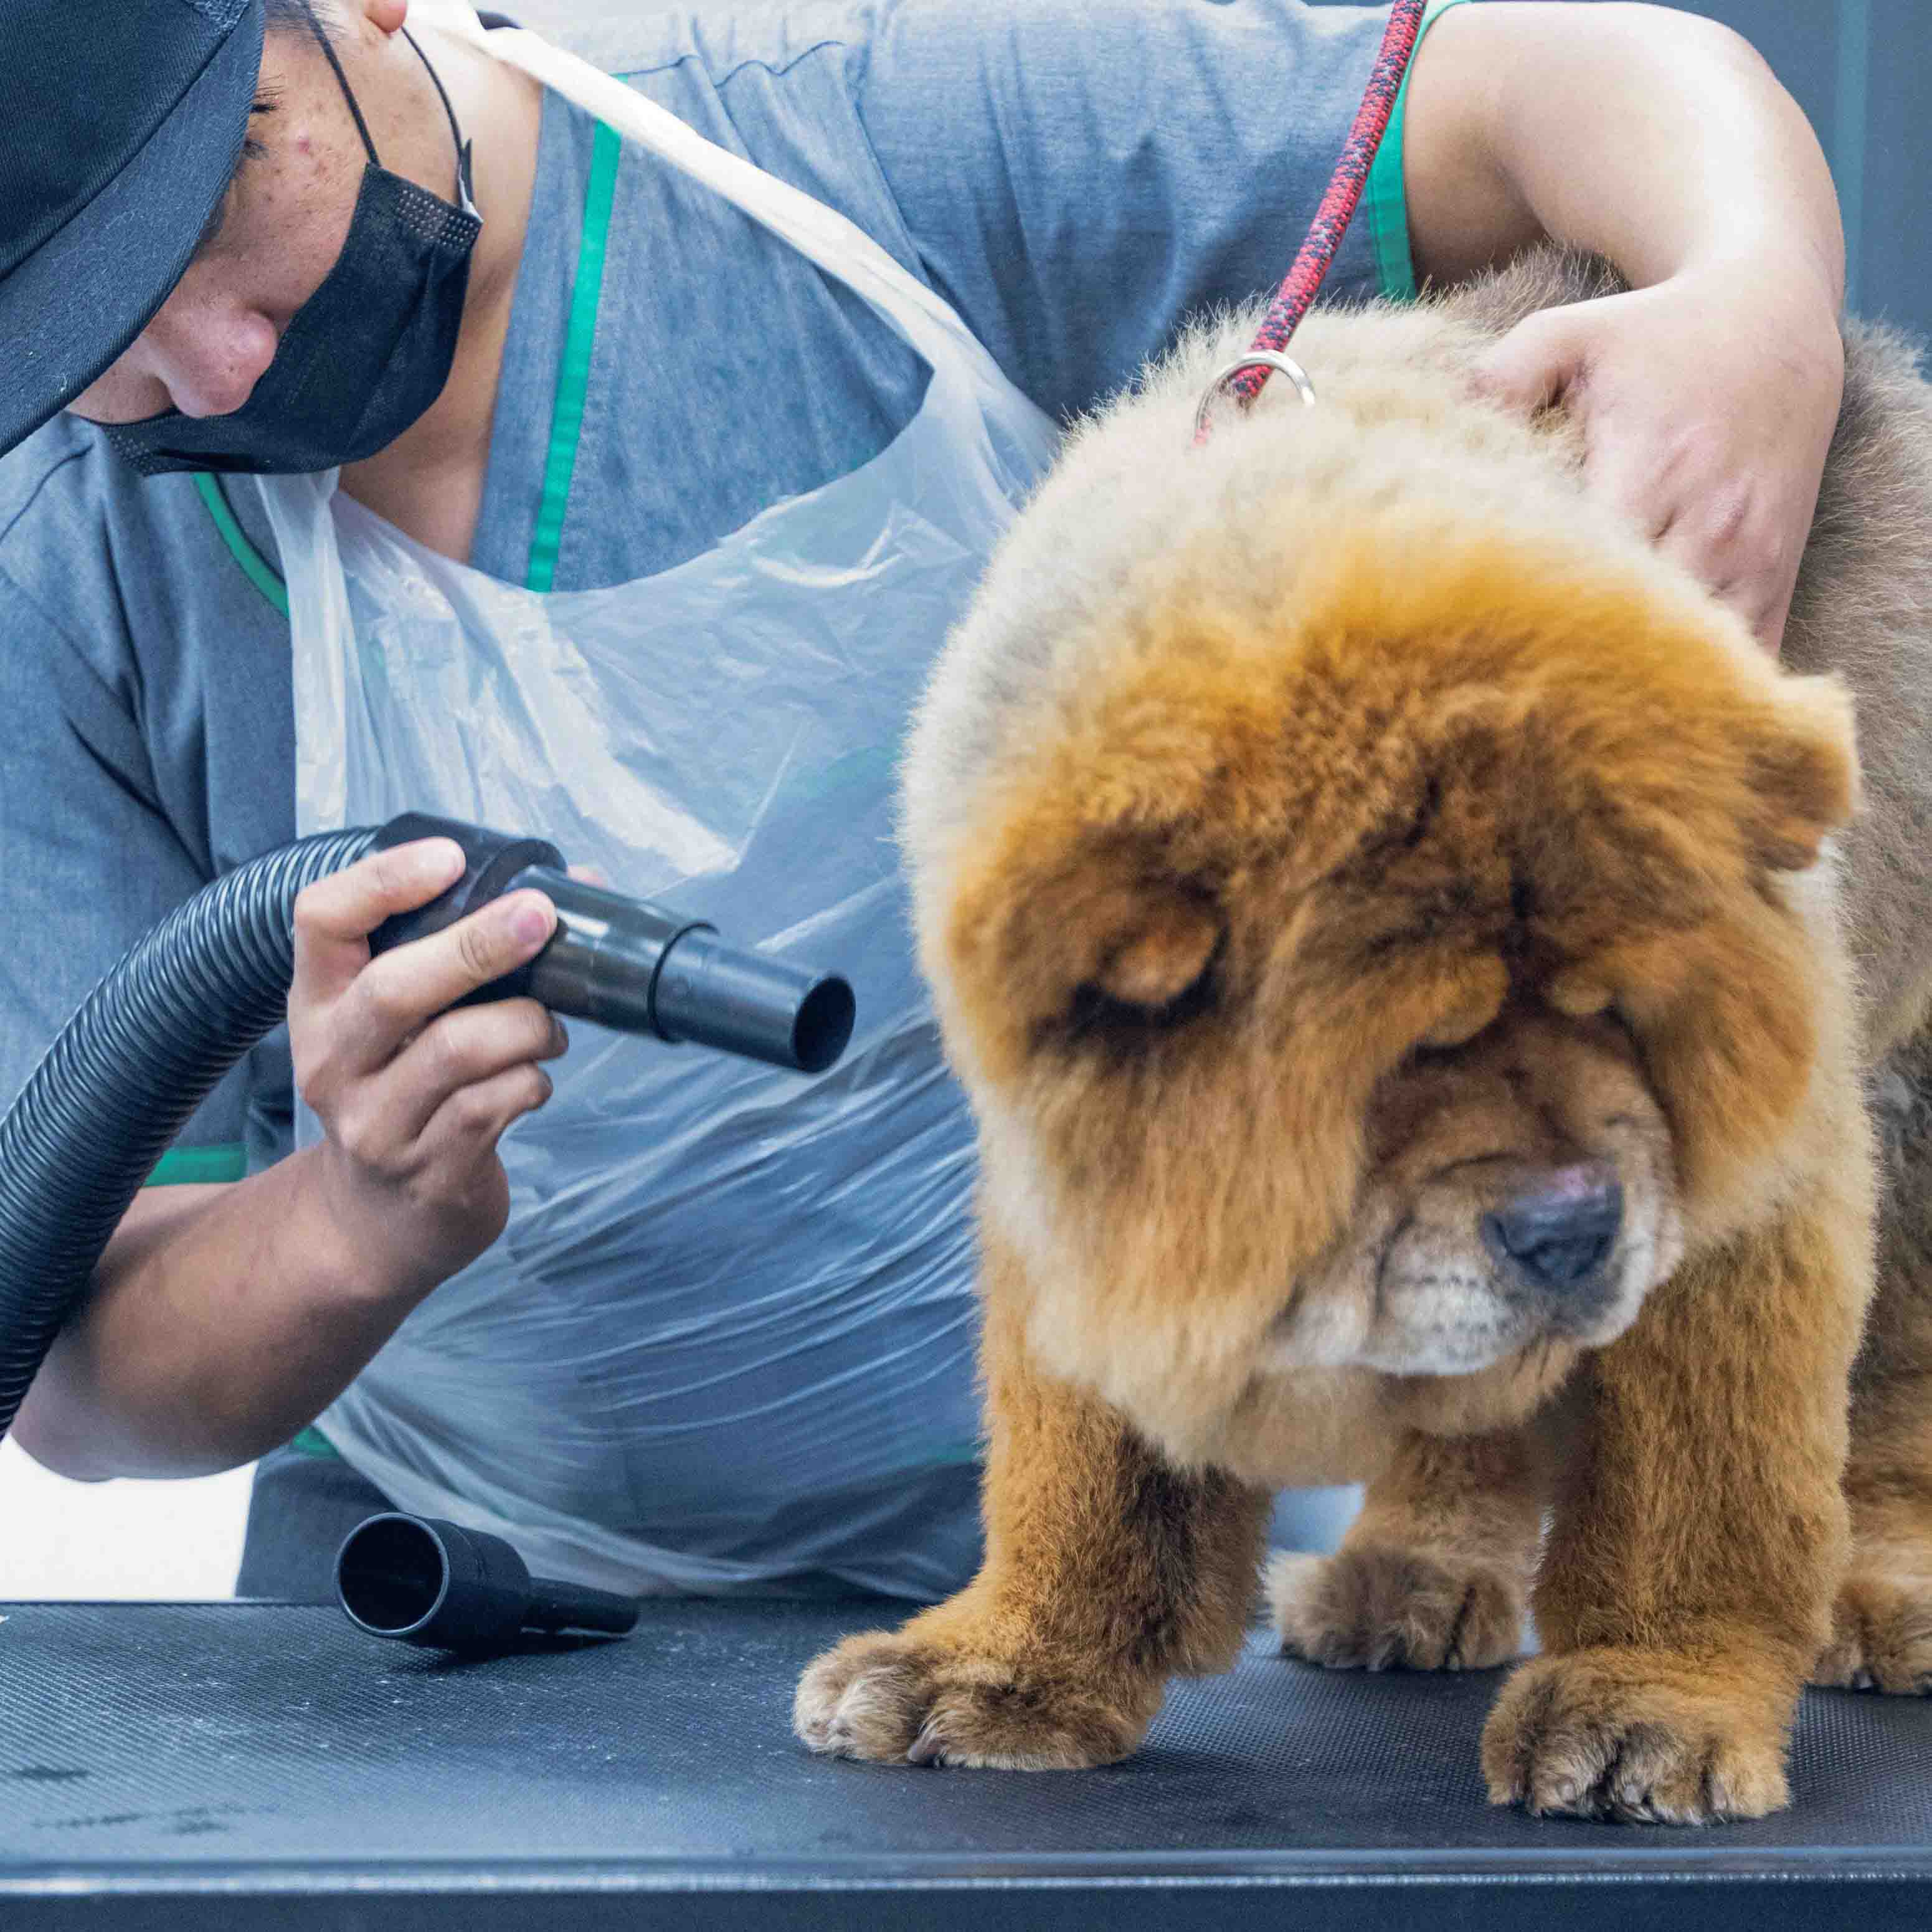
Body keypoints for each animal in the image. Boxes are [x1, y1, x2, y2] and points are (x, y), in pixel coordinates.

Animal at [792, 249, 1932, 1816]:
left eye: (1620, 1011)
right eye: (1402, 1061)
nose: (1574, 1228)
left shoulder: (1755, 1184)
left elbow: (1703, 1483)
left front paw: (1657, 1694)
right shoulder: (1077, 1166)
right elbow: (1085, 1456)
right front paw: (1010, 1662)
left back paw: (1886, 1591)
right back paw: (1414, 1569)